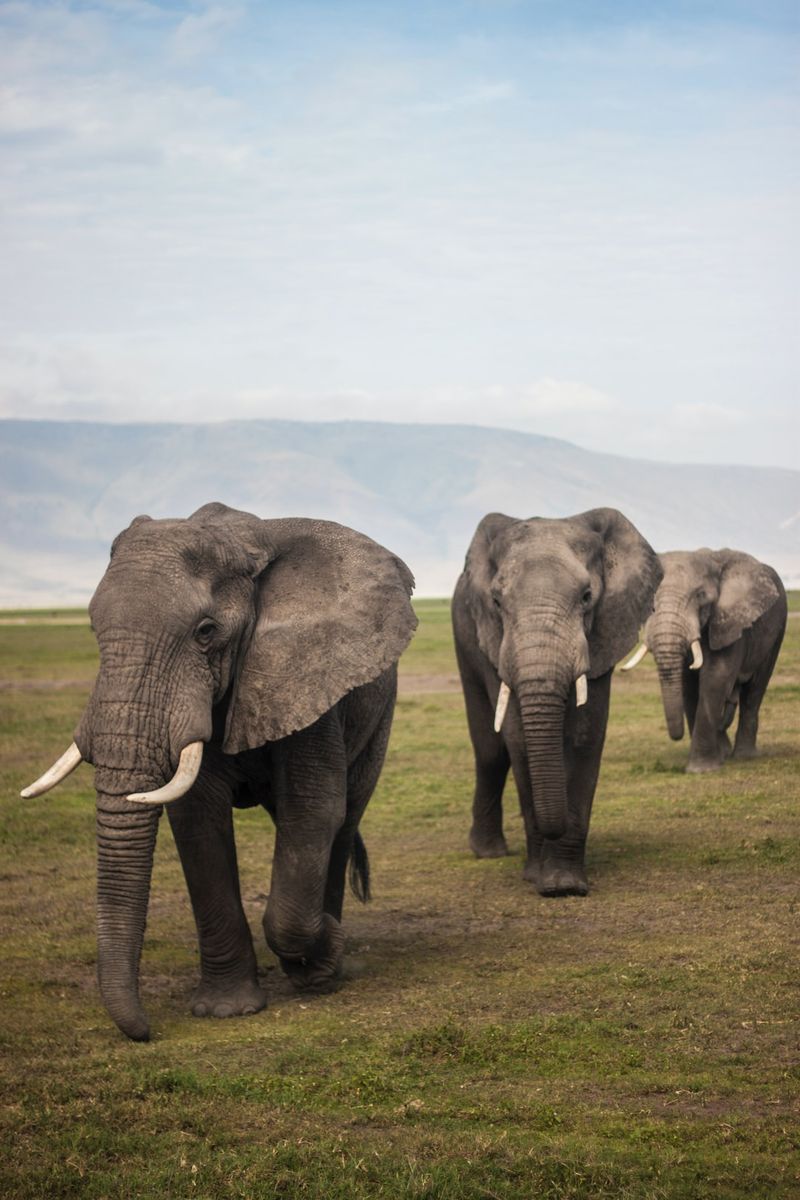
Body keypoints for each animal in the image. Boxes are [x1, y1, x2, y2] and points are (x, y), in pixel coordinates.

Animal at [21, 501, 417, 1036]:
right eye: (91, 629)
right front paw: (225, 1010)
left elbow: (312, 811)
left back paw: (325, 966)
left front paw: (324, 957)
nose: (146, 1032)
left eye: (206, 632)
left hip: (380, 713)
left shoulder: (306, 674)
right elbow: (197, 820)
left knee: (345, 815)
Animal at [450, 511, 662, 897]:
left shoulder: (603, 633)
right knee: (490, 751)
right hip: (464, 636)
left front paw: (564, 884)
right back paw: (488, 852)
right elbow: (518, 740)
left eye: (587, 596)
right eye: (497, 602)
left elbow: (584, 736)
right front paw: (539, 878)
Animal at [623, 549, 786, 772]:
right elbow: (689, 685)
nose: (677, 736)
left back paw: (744, 756)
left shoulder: (730, 622)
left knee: (755, 690)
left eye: (700, 596)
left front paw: (701, 770)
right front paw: (715, 759)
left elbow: (716, 677)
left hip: (778, 630)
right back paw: (725, 752)